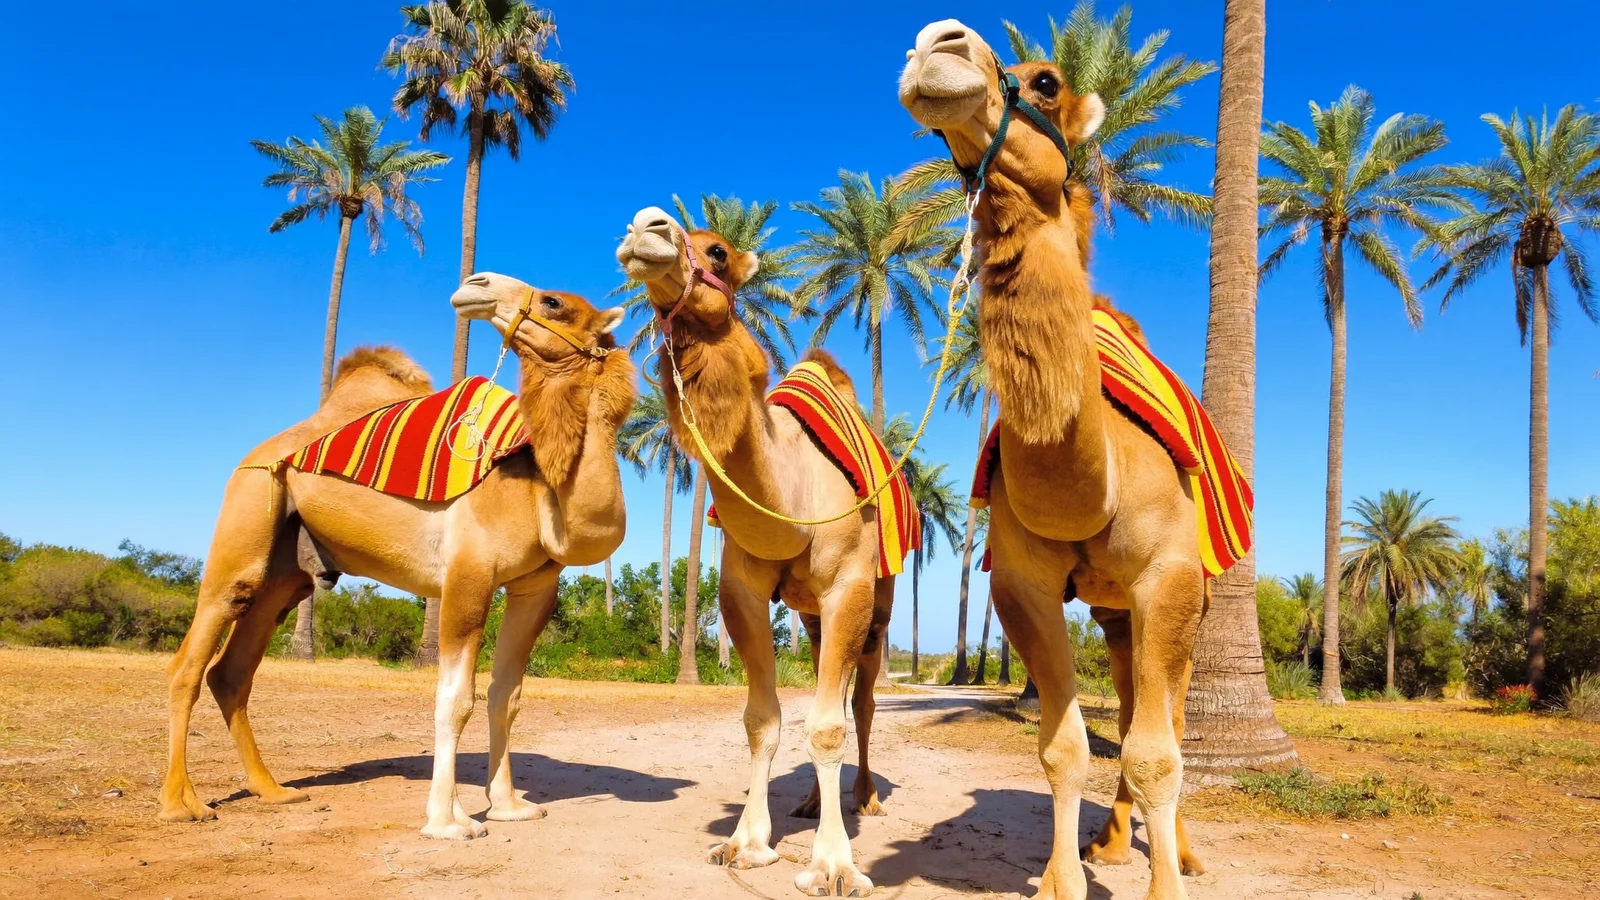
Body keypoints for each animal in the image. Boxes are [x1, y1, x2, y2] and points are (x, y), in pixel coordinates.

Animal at [158, 279, 635, 840]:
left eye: (554, 303)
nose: (477, 285)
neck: (537, 485)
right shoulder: (468, 575)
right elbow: (456, 699)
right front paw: (448, 822)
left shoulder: (534, 588)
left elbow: (507, 696)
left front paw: (509, 806)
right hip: (249, 505)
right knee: (194, 657)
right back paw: (181, 804)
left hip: (286, 575)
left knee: (232, 672)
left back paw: (275, 791)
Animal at [617, 207, 899, 897]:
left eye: (718, 251)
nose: (644, 227)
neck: (791, 493)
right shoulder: (739, 591)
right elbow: (762, 719)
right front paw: (746, 843)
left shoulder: (849, 586)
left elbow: (828, 722)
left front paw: (834, 865)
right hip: (811, 616)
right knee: (833, 682)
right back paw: (811, 802)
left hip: (877, 606)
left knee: (862, 702)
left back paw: (866, 797)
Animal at [901, 20, 1223, 900]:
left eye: (1047, 81)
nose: (933, 44)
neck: (1097, 477)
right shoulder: (1022, 585)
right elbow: (1063, 748)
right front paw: (1059, 879)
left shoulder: (1169, 575)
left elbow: (1157, 750)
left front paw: (1168, 884)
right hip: (1113, 612)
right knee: (1130, 690)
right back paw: (1110, 842)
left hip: (1188, 599)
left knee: (1171, 715)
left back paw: (1182, 851)